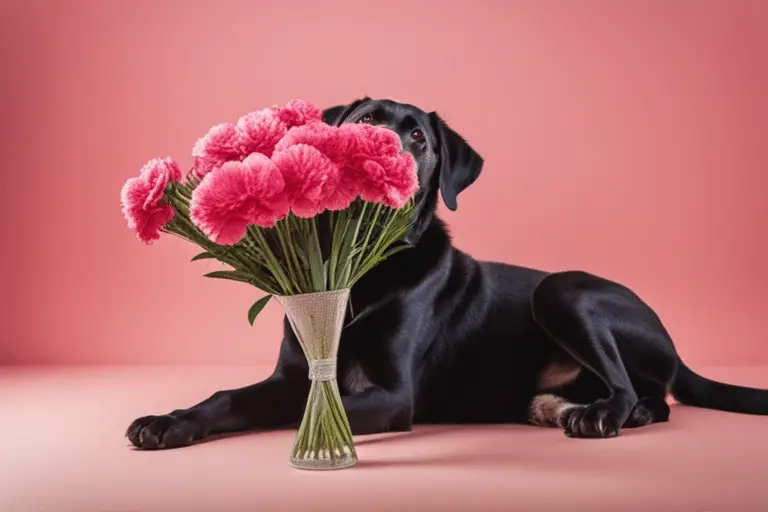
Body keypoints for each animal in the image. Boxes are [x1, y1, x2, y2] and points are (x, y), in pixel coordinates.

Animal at [127, 98, 768, 450]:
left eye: (418, 136)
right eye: (365, 117)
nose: (383, 144)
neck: (367, 272)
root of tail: (673, 343)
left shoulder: (393, 396)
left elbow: (299, 408)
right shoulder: (296, 370)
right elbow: (230, 396)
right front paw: (170, 421)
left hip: (562, 288)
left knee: (639, 393)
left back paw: (601, 416)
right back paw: (560, 408)